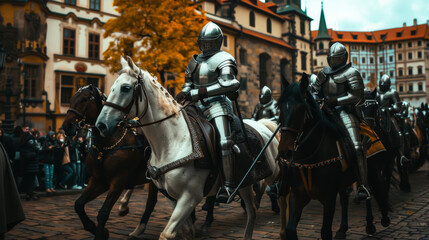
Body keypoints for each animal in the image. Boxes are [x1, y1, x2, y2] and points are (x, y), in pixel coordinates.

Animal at [61, 85, 155, 239]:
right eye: (71, 98)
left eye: (84, 99)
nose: (67, 126)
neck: (106, 144)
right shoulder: (98, 180)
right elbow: (79, 204)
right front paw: (94, 228)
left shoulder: (118, 182)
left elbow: (103, 213)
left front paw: (101, 232)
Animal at [95, 56, 280, 240]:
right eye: (112, 87)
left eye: (126, 88)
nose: (101, 125)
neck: (172, 142)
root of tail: (262, 125)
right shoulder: (171, 197)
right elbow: (186, 231)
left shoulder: (190, 197)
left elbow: (167, 233)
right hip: (245, 184)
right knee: (252, 210)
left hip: (269, 174)